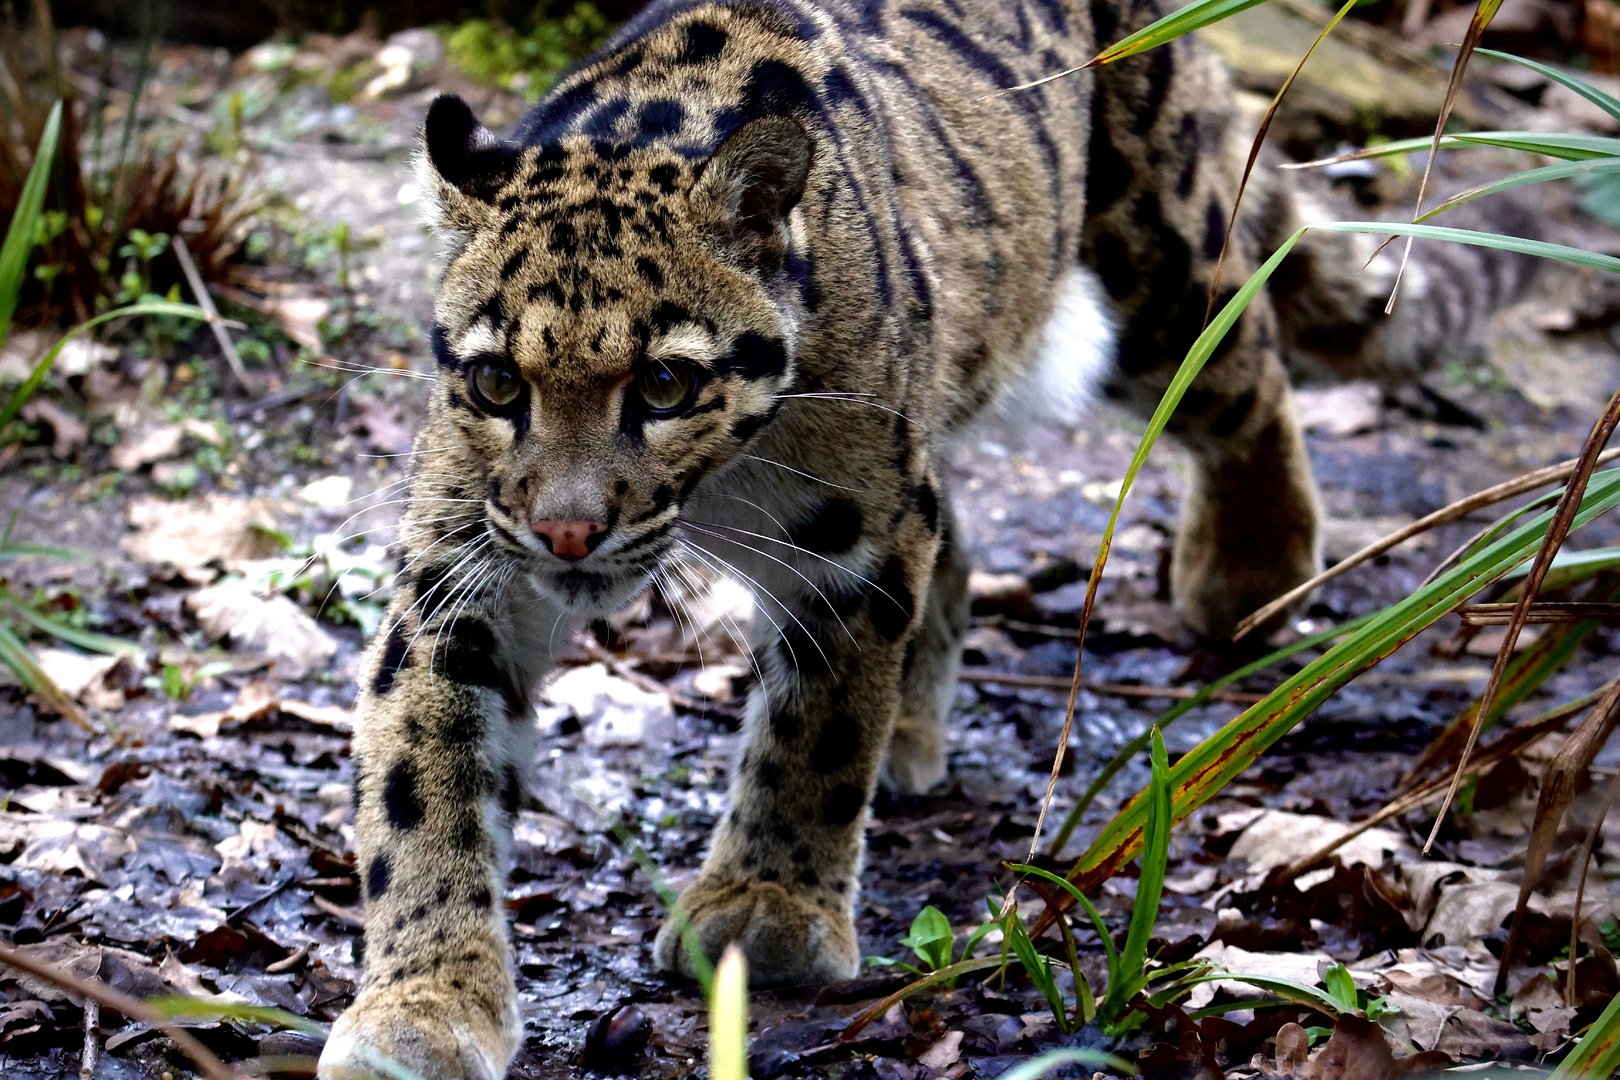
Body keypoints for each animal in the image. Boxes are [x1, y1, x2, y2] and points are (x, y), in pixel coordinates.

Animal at [315, 0, 1534, 1075]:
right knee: (964, 534)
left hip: (1156, 265)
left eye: (663, 385)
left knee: (1248, 358)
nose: (567, 531)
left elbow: (815, 729)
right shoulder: (460, 576)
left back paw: (1252, 570)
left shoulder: (849, 546)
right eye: (496, 382)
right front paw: (425, 1002)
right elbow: (424, 787)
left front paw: (767, 905)